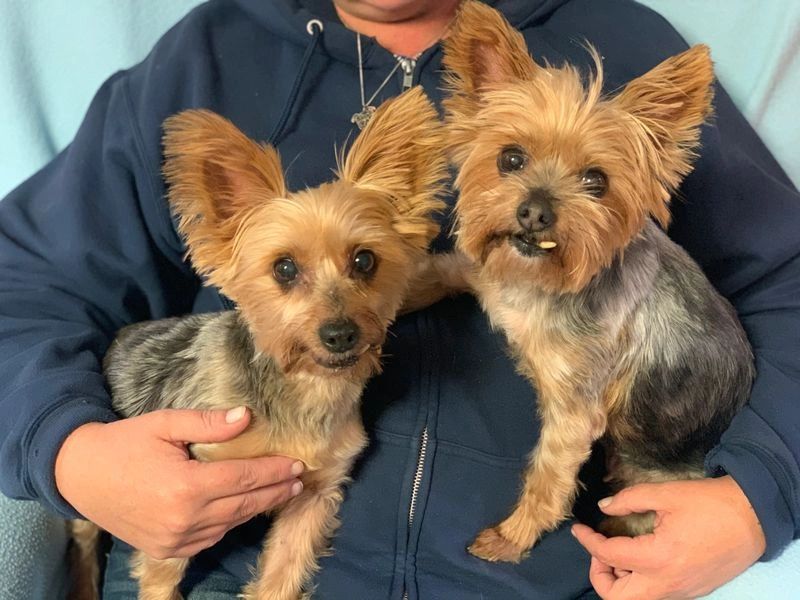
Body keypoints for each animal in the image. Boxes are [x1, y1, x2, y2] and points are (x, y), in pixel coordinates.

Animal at [71, 86, 446, 599]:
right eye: (284, 268)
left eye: (365, 260)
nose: (340, 333)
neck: (306, 390)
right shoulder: (184, 497)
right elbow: (163, 576)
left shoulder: (314, 496)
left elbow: (282, 573)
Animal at [439, 1, 754, 563]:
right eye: (510, 158)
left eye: (597, 182)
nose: (535, 212)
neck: (541, 286)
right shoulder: (487, 269)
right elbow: (441, 268)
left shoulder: (573, 414)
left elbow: (547, 479)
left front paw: (511, 538)